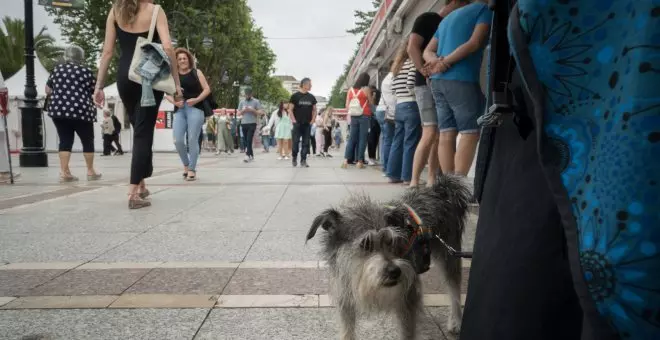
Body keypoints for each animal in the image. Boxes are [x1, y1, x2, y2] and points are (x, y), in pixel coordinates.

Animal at [306, 175, 472, 340]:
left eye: (392, 241)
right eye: (365, 243)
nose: (395, 271)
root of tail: (440, 190)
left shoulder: (407, 300)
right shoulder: (345, 298)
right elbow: (348, 332)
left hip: (449, 255)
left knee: (454, 289)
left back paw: (456, 321)